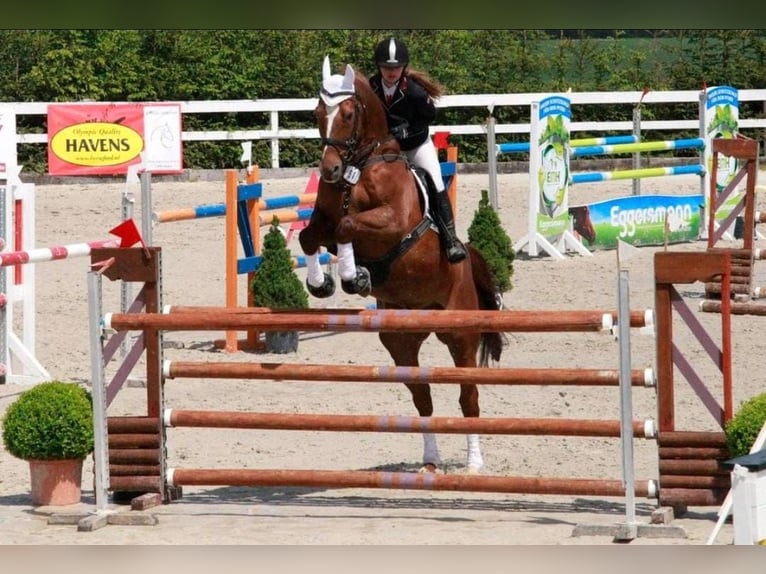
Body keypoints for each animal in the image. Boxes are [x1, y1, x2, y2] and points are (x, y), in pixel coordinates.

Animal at [297, 56, 506, 474]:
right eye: (316, 113)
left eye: (348, 113)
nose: (329, 171)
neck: (361, 165)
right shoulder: (323, 221)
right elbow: (310, 237)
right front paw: (322, 283)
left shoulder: (391, 223)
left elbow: (347, 227)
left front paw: (352, 275)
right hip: (400, 341)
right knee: (422, 396)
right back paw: (430, 461)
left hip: (460, 334)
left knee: (468, 396)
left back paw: (474, 462)